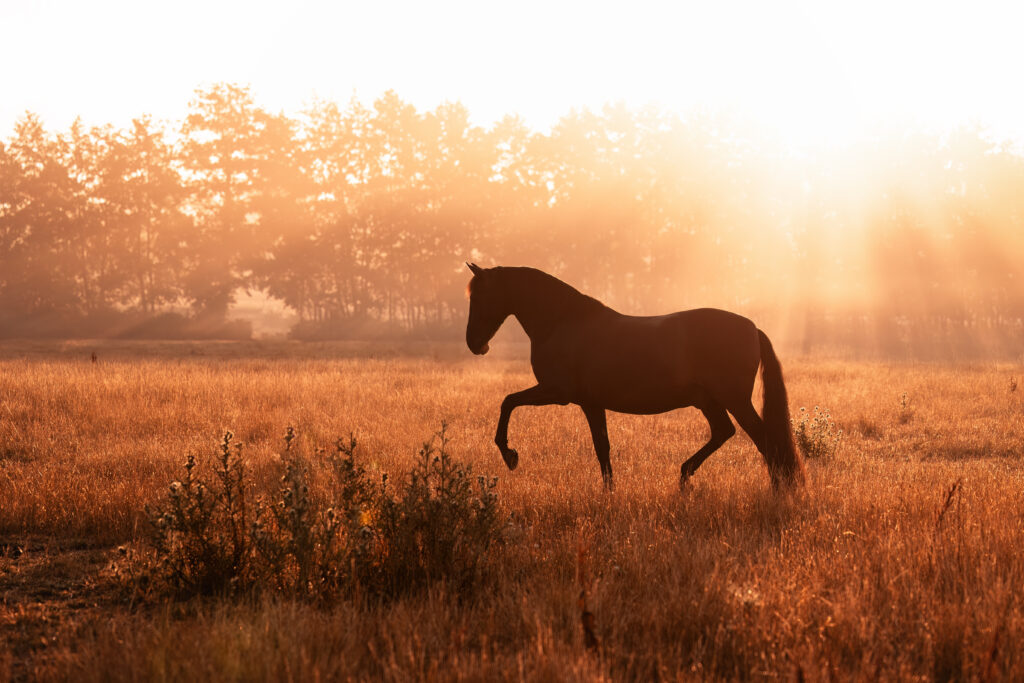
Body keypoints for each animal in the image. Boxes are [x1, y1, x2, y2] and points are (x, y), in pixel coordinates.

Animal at [466, 262, 806, 491]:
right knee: (724, 432)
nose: (475, 344)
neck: (563, 321)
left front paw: (509, 455)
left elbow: (508, 402)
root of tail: (752, 327)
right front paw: (609, 492)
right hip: (709, 401)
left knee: (764, 441)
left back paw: (777, 490)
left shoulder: (557, 392)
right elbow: (602, 447)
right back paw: (684, 476)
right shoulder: (590, 403)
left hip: (734, 400)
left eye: (479, 297)